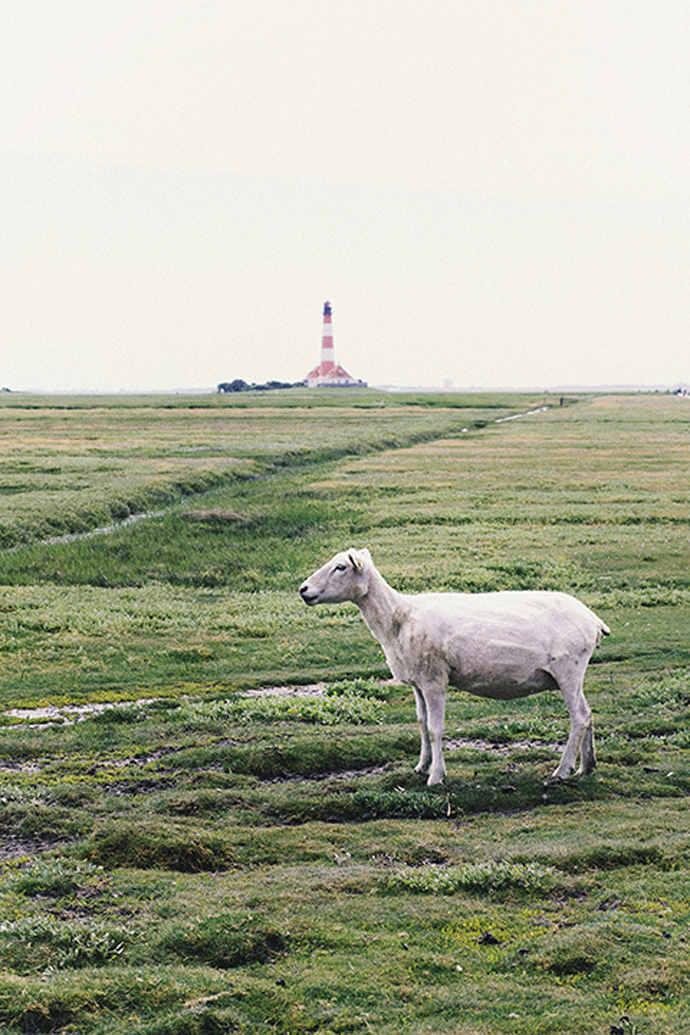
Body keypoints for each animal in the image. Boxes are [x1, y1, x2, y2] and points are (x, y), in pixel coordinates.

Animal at [299, 548, 610, 786]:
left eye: (340, 567)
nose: (303, 590)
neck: (397, 619)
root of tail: (594, 621)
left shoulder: (434, 679)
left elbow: (435, 728)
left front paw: (436, 776)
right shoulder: (418, 682)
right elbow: (422, 724)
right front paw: (421, 766)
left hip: (568, 669)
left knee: (579, 717)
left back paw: (562, 770)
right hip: (574, 674)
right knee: (588, 713)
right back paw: (587, 766)